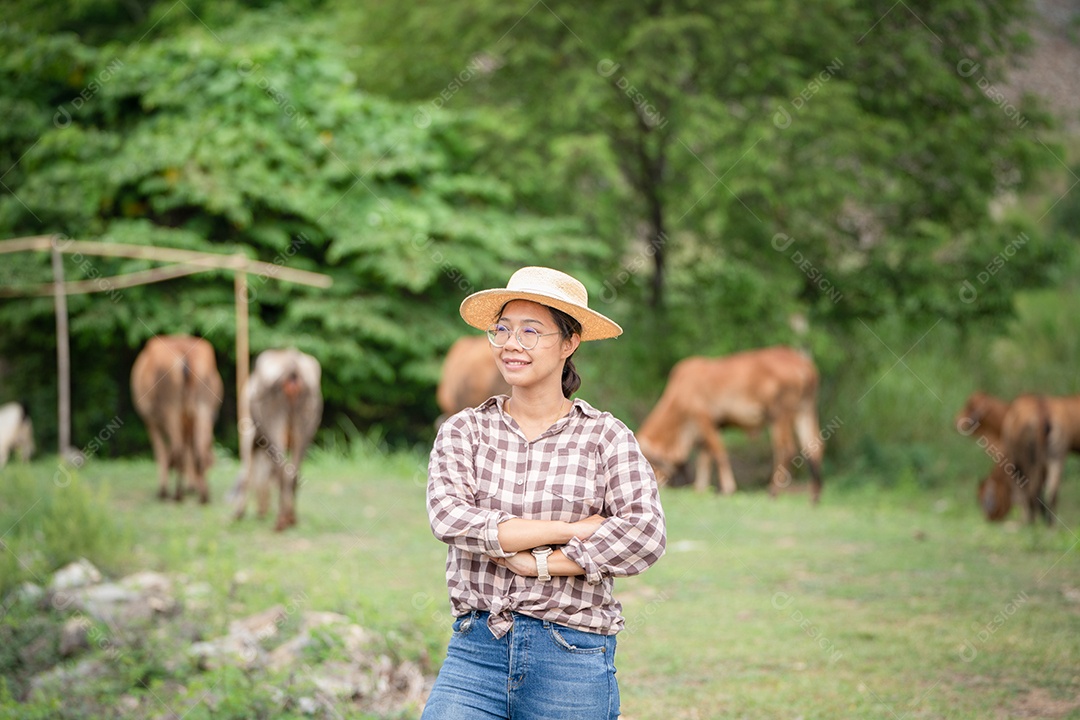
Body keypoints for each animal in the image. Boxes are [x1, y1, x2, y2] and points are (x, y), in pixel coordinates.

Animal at [130, 336, 223, 500]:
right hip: (203, 407)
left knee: (178, 449)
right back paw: (203, 494)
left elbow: (161, 452)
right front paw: (192, 486)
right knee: (199, 447)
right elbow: (189, 449)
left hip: (170, 409)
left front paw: (163, 490)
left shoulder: (151, 421)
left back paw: (177, 494)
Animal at [232, 345, 319, 533]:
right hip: (308, 423)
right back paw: (290, 519)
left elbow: (247, 470)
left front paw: (239, 513)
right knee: (293, 473)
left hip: (272, 421)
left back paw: (280, 522)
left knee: (280, 472)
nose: (261, 511)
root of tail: (292, 366)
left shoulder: (247, 430)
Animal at [635, 345, 820, 505]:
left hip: (779, 416)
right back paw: (814, 498)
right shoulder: (711, 428)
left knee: (785, 449)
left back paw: (773, 492)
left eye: (650, 461)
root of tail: (803, 364)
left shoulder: (705, 420)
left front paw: (727, 489)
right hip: (805, 410)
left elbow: (719, 454)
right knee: (814, 447)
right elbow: (705, 458)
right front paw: (700, 489)